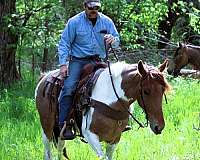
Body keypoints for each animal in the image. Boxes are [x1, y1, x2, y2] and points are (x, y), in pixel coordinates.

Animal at [34, 60, 170, 160]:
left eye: (163, 90)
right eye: (146, 91)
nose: (159, 126)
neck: (111, 99)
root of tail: (44, 77)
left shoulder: (115, 138)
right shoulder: (90, 135)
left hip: (59, 133)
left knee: (60, 148)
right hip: (47, 127)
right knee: (48, 152)